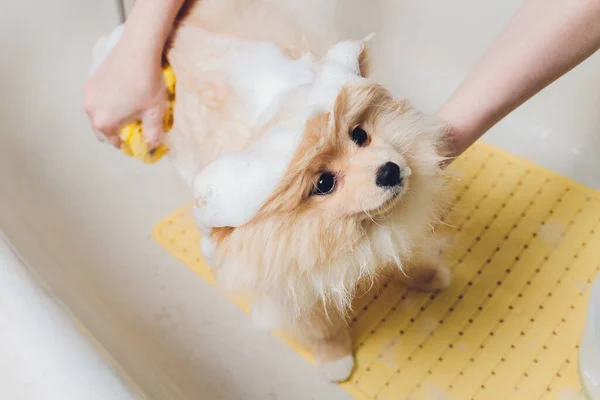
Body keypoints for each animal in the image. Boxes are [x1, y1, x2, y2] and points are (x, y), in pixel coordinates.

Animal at [164, 0, 450, 382]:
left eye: (360, 135)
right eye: (324, 183)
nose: (389, 171)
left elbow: (410, 253)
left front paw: (430, 275)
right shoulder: (295, 282)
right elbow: (321, 329)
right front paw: (335, 360)